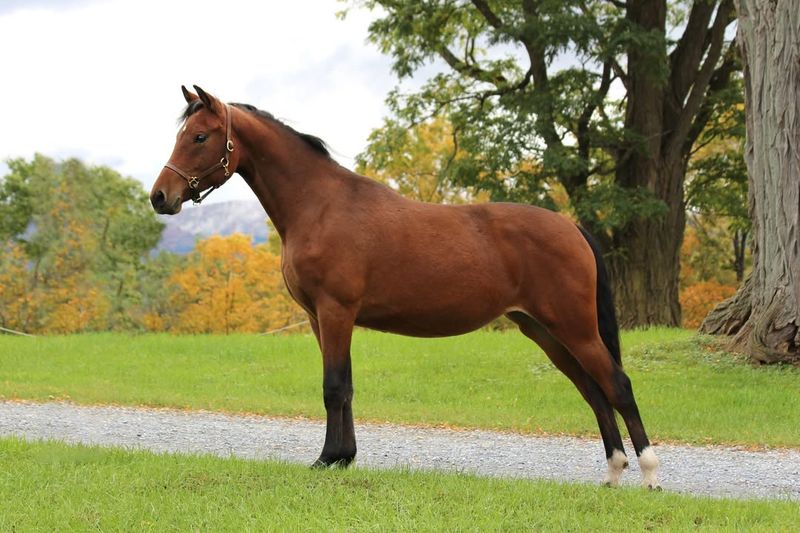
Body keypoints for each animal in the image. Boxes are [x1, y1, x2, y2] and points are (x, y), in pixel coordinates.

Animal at [150, 85, 664, 488]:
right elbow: (346, 386)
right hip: (545, 332)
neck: (320, 205)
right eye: (180, 135)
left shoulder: (336, 311)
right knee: (593, 390)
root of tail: (571, 226)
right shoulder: (320, 318)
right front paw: (343, 458)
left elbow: (333, 386)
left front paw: (328, 458)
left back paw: (649, 472)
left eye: (199, 136)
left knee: (617, 385)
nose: (160, 197)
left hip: (575, 328)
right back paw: (613, 471)